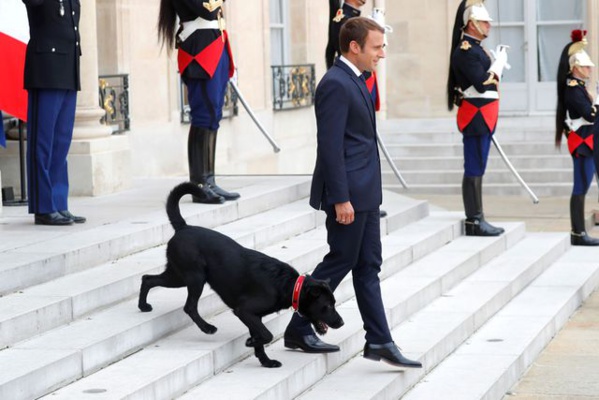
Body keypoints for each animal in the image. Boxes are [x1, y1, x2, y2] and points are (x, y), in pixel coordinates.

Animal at [139, 183, 344, 368]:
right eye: (327, 306)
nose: (341, 322)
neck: (289, 284)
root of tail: (183, 227)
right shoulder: (244, 311)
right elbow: (266, 335)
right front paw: (250, 343)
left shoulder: (254, 316)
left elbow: (260, 338)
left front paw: (266, 361)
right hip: (194, 277)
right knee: (189, 306)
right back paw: (207, 328)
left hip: (177, 276)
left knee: (147, 278)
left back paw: (143, 306)